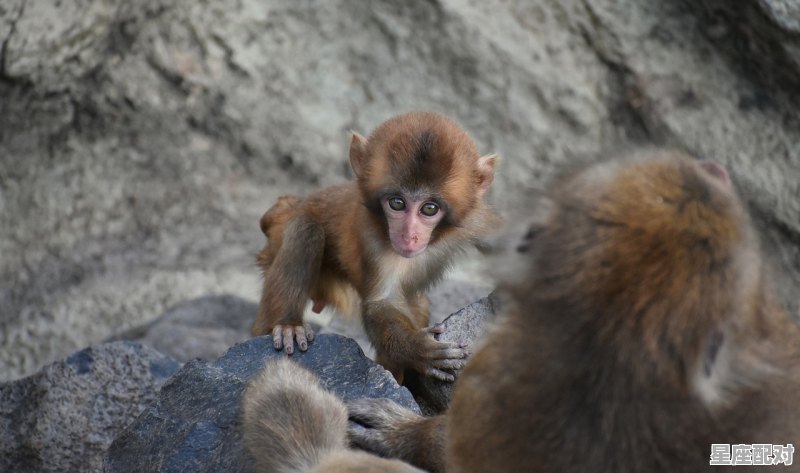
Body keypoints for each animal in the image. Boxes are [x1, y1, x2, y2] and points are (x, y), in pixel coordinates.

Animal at [252, 111, 500, 384]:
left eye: (429, 208)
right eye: (397, 203)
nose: (409, 236)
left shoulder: (477, 218)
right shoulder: (372, 235)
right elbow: (382, 303)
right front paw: (418, 349)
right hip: (278, 233)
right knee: (305, 227)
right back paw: (287, 325)